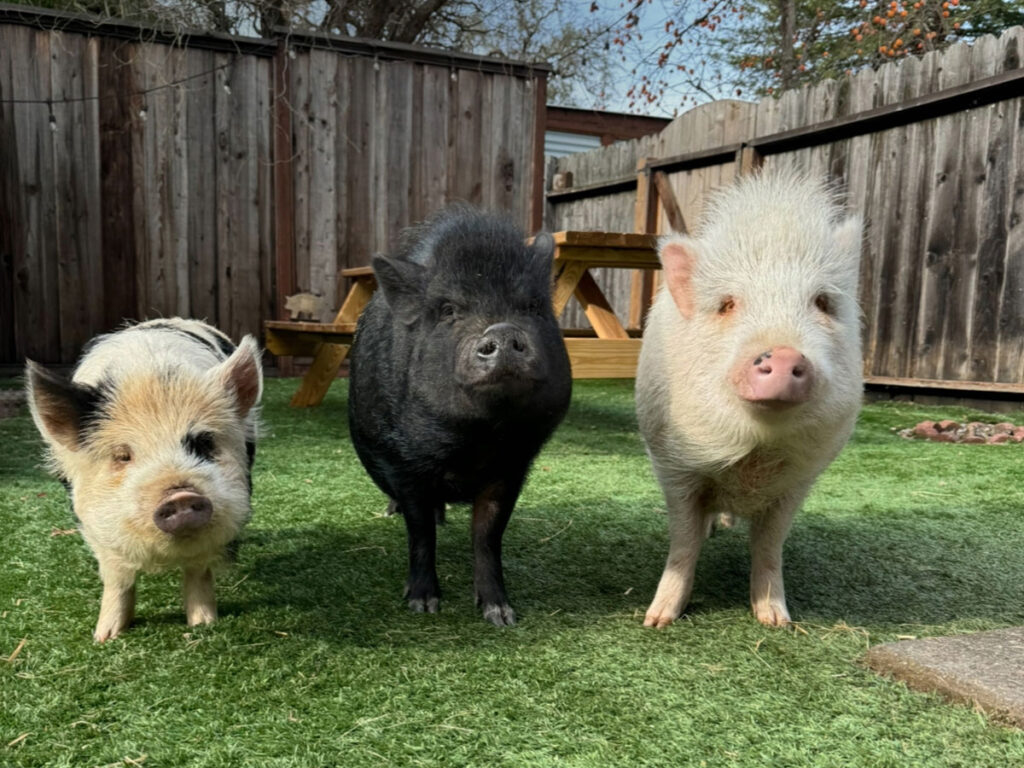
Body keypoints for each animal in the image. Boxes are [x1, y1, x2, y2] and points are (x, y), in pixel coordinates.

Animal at [25, 318, 262, 641]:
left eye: (203, 442)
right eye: (123, 455)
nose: (181, 496)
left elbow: (199, 571)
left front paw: (203, 625)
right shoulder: (95, 525)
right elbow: (117, 579)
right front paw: (105, 637)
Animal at [348, 206, 572, 626]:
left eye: (532, 308)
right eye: (449, 310)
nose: (502, 331)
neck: (475, 441)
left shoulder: (511, 468)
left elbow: (487, 535)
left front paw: (501, 615)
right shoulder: (404, 464)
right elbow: (420, 533)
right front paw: (423, 605)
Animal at [636, 170, 863, 628]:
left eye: (822, 302)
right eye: (727, 304)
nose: (784, 353)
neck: (756, 453)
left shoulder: (799, 480)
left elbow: (770, 545)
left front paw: (776, 621)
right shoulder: (674, 467)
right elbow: (683, 542)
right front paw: (657, 620)